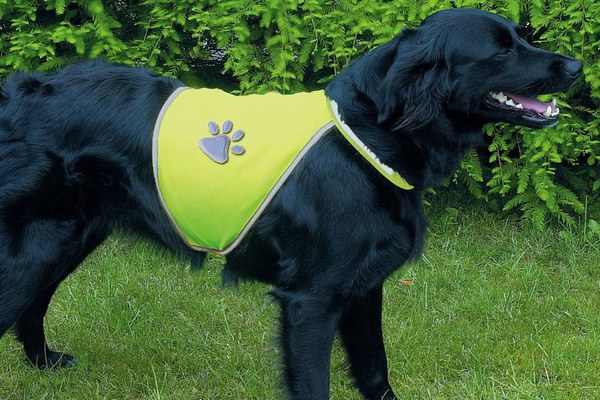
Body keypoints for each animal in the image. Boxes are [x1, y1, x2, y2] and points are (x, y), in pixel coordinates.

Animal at [0, 8, 582, 400]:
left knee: (34, 306)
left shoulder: (363, 288)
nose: (577, 64)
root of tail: (18, 94)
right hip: (34, 250)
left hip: (66, 240)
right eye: (501, 50)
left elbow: (375, 371)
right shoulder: (310, 300)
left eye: (518, 37)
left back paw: (43, 363)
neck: (367, 134)